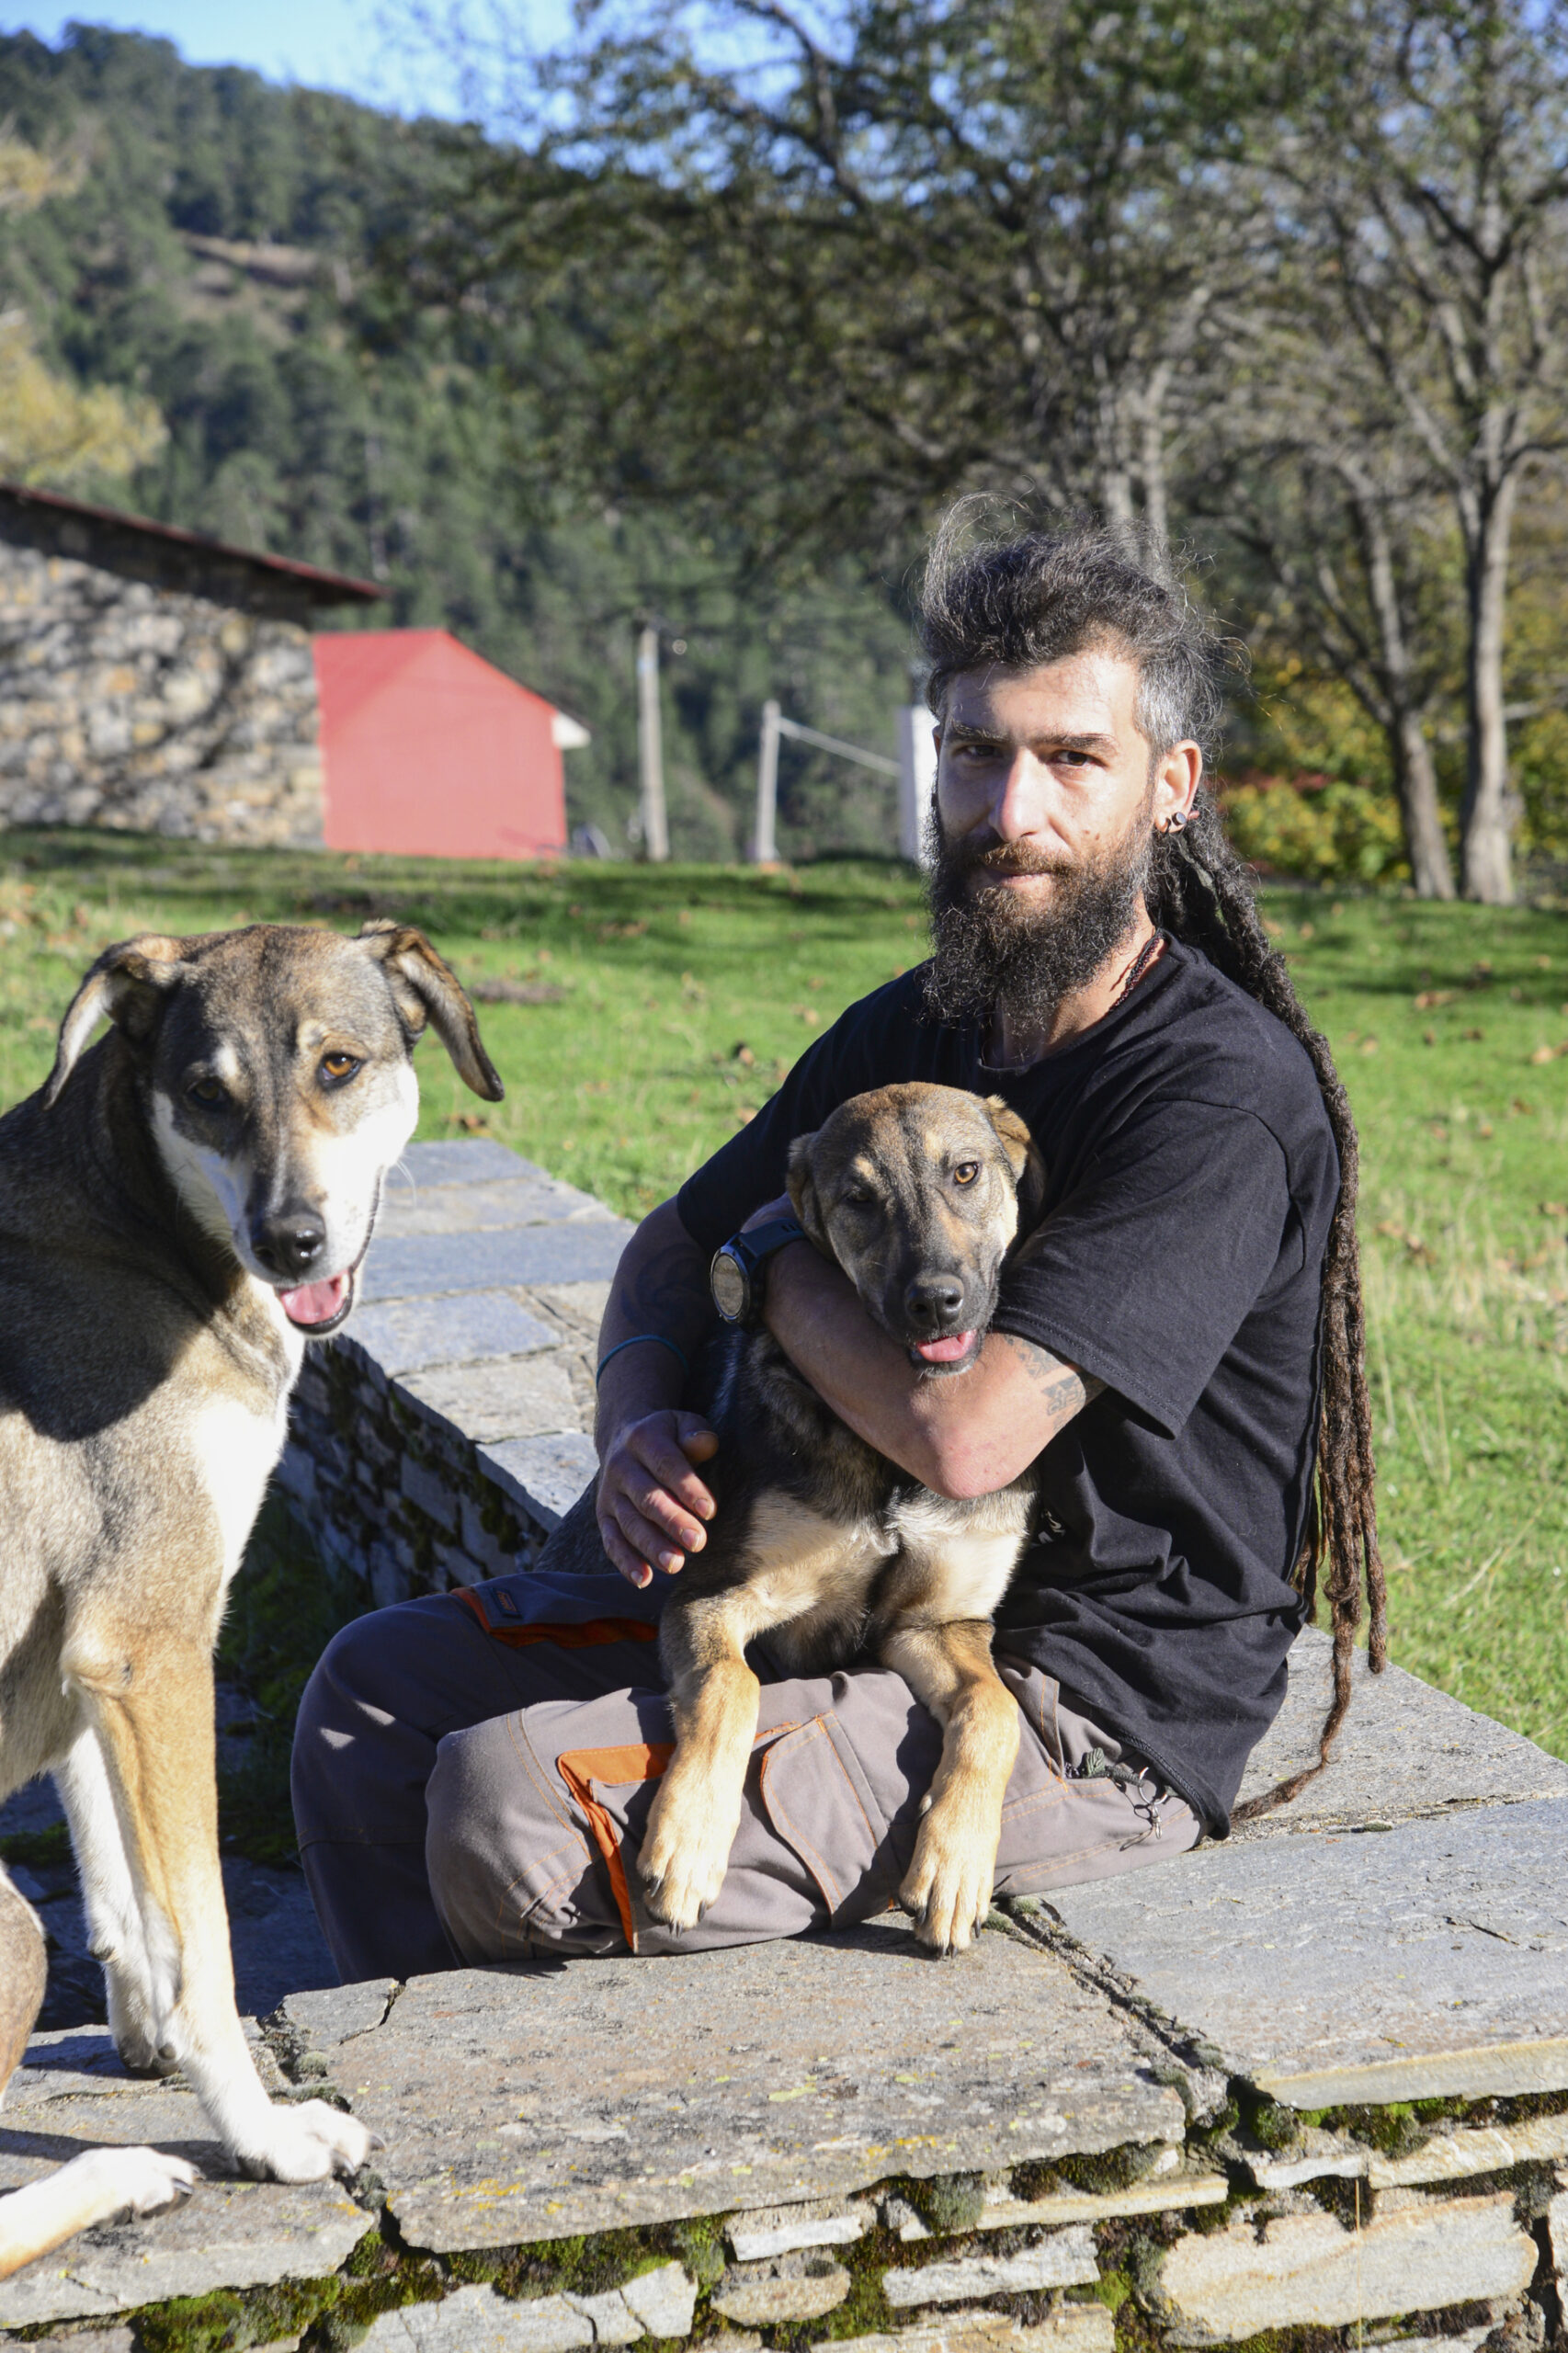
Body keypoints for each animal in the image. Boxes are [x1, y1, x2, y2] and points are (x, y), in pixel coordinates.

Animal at [0, 918, 501, 2280]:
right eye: (207, 1093)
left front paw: (143, 2034)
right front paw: (263, 2134)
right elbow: (205, 1940)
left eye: (339, 1064)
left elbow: (122, 1884)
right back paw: (123, 2174)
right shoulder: (151, 1642)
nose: (291, 1244)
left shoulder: (91, 1658)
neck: (143, 1228)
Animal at [623, 1082, 1044, 1954]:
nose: (936, 1303)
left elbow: (997, 1711)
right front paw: (689, 1842)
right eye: (859, 1200)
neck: (894, 1461)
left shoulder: (933, 1624)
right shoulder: (713, 1597)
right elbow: (730, 1685)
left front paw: (955, 1863)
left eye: (965, 1172)